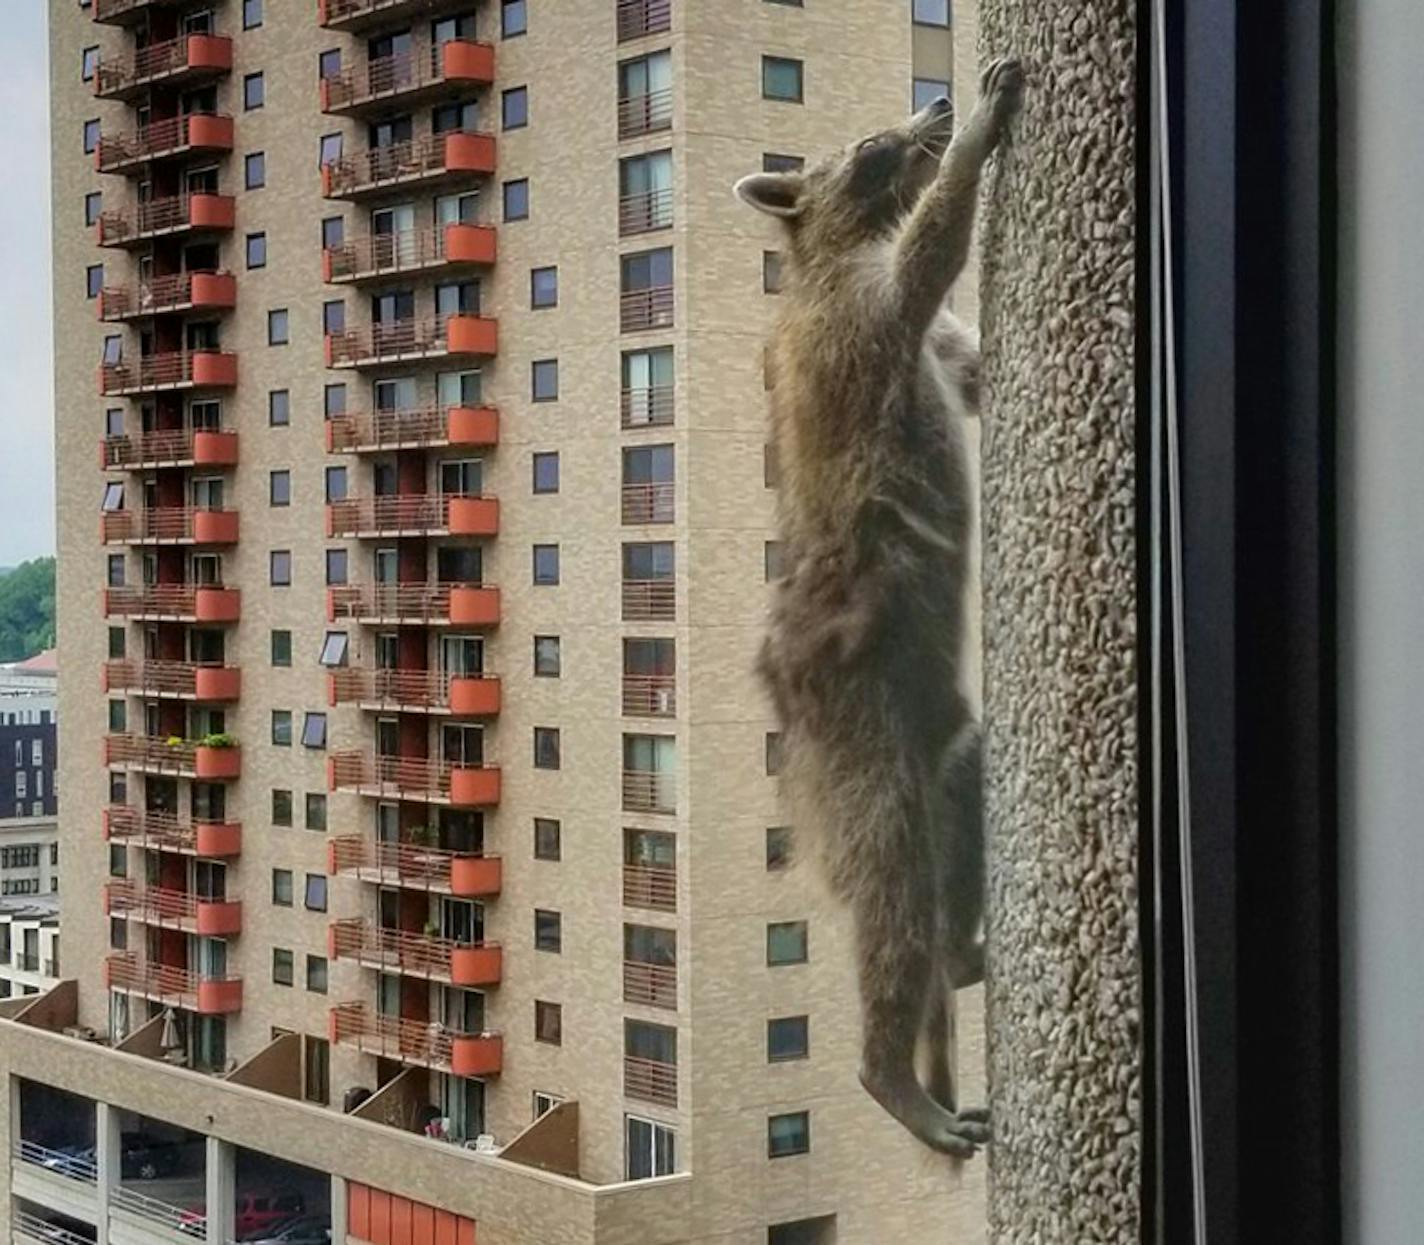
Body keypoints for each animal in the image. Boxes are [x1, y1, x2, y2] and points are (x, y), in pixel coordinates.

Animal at [734, 53, 1025, 1150]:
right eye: (867, 148)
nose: (931, 104)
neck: (822, 251)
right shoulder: (857, 320)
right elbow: (925, 259)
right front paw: (977, 138)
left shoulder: (928, 344)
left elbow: (969, 366)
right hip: (853, 731)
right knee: (892, 898)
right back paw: (887, 1072)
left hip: (929, 729)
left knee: (961, 787)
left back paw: (961, 951)